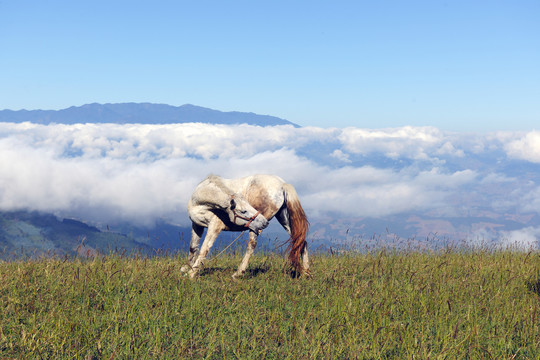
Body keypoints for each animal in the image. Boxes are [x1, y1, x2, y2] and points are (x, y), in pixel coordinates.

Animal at [180, 174, 310, 278]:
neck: (199, 203)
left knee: (251, 246)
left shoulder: (214, 226)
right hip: (284, 220)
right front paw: (186, 268)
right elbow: (193, 247)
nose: (264, 222)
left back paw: (238, 273)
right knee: (300, 241)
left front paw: (191, 273)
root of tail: (282, 184)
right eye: (243, 211)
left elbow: (204, 249)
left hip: (255, 227)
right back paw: (306, 273)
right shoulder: (197, 225)